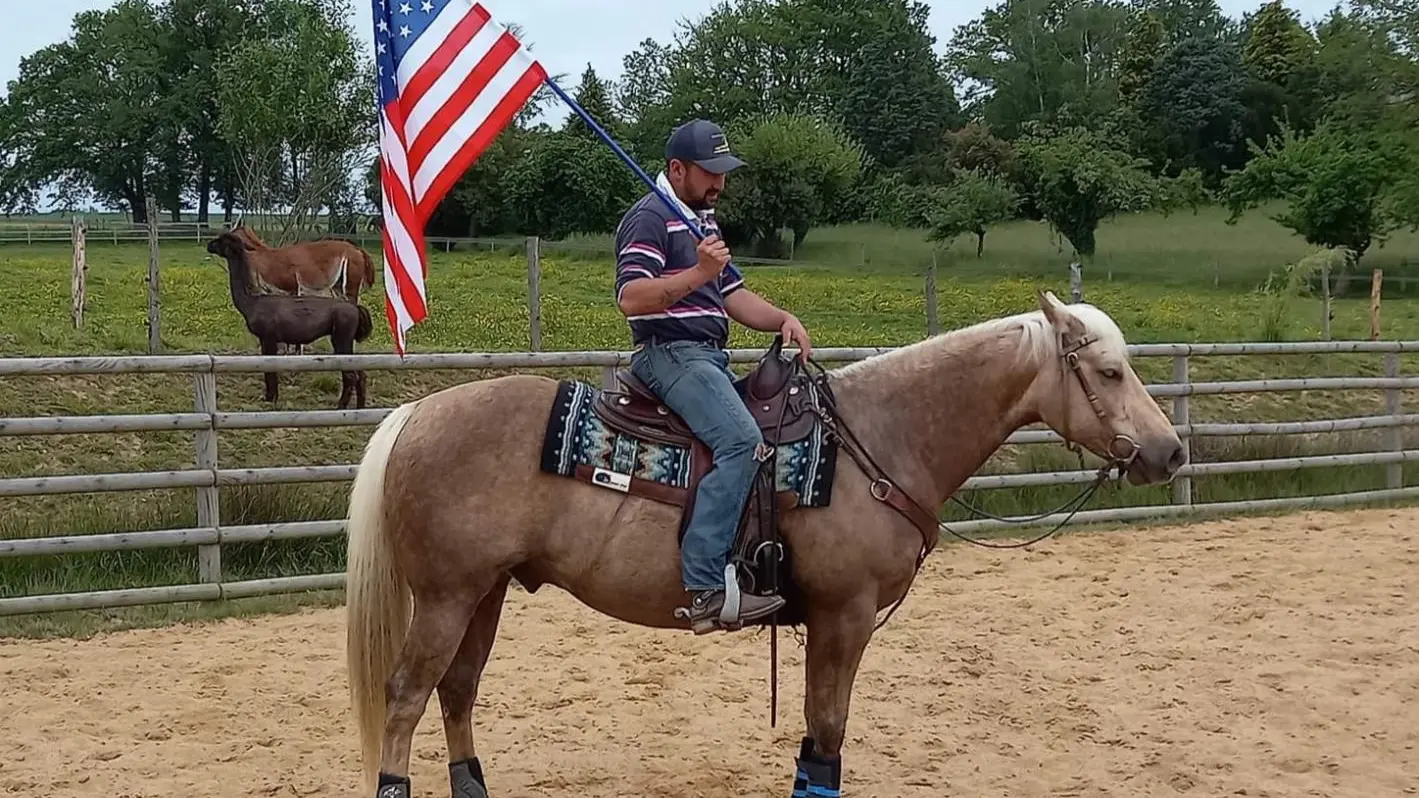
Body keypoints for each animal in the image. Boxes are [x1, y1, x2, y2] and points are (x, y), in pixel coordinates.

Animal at [206, 232, 372, 409]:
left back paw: (341, 406)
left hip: (341, 336)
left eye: (222, 240)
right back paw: (359, 407)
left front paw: (271, 398)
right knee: (360, 373)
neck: (251, 302)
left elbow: (270, 368)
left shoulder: (268, 337)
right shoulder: (267, 339)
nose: (209, 244)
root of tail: (355, 309)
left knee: (351, 374)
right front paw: (270, 397)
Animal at [342, 291, 1186, 798]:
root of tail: (417, 413)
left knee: (456, 690)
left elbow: (818, 737)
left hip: (483, 591)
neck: (878, 438)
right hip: (445, 595)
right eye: (1108, 369)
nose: (1168, 451)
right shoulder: (843, 617)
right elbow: (826, 733)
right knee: (406, 695)